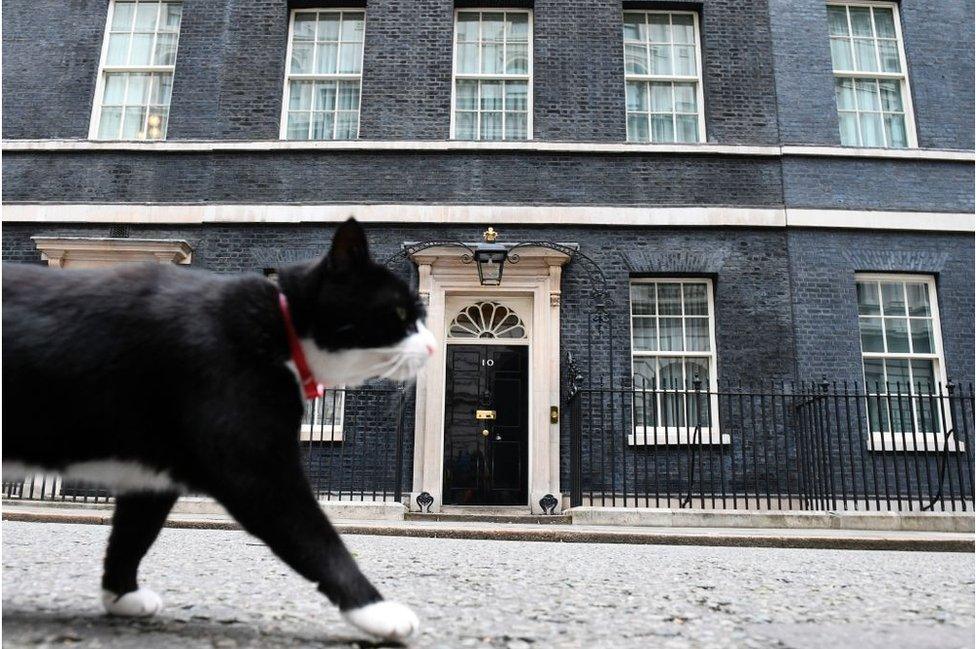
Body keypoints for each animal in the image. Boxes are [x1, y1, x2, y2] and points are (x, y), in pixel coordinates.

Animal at [0, 219, 434, 644]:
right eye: (400, 312)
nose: (431, 348)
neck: (281, 325)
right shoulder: (255, 467)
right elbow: (318, 539)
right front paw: (376, 610)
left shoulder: (153, 472)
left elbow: (133, 533)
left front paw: (121, 594)